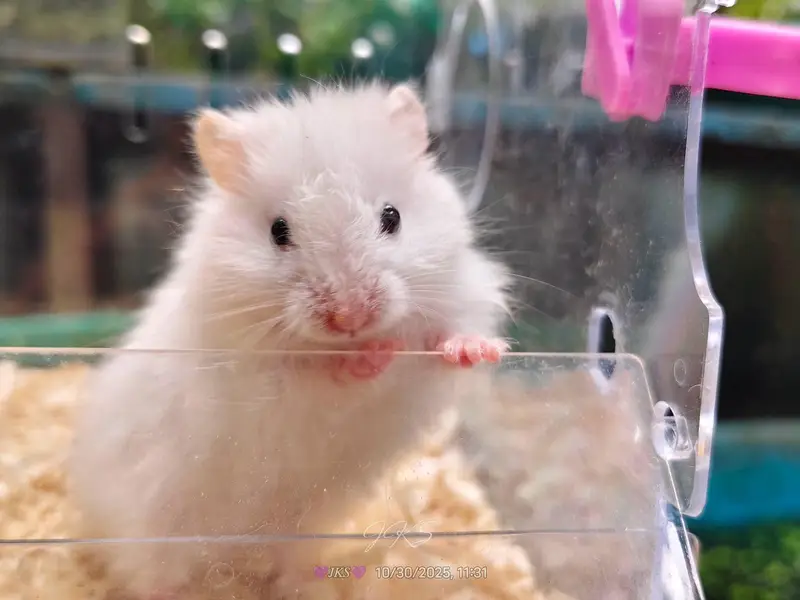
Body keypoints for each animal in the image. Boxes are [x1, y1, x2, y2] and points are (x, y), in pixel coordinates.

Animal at [68, 81, 512, 599]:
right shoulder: (266, 383)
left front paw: (476, 350)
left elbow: (450, 334)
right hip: (154, 536)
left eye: (392, 216)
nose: (351, 317)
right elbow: (318, 380)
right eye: (278, 231)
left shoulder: (457, 300)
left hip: (300, 530)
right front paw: (372, 359)